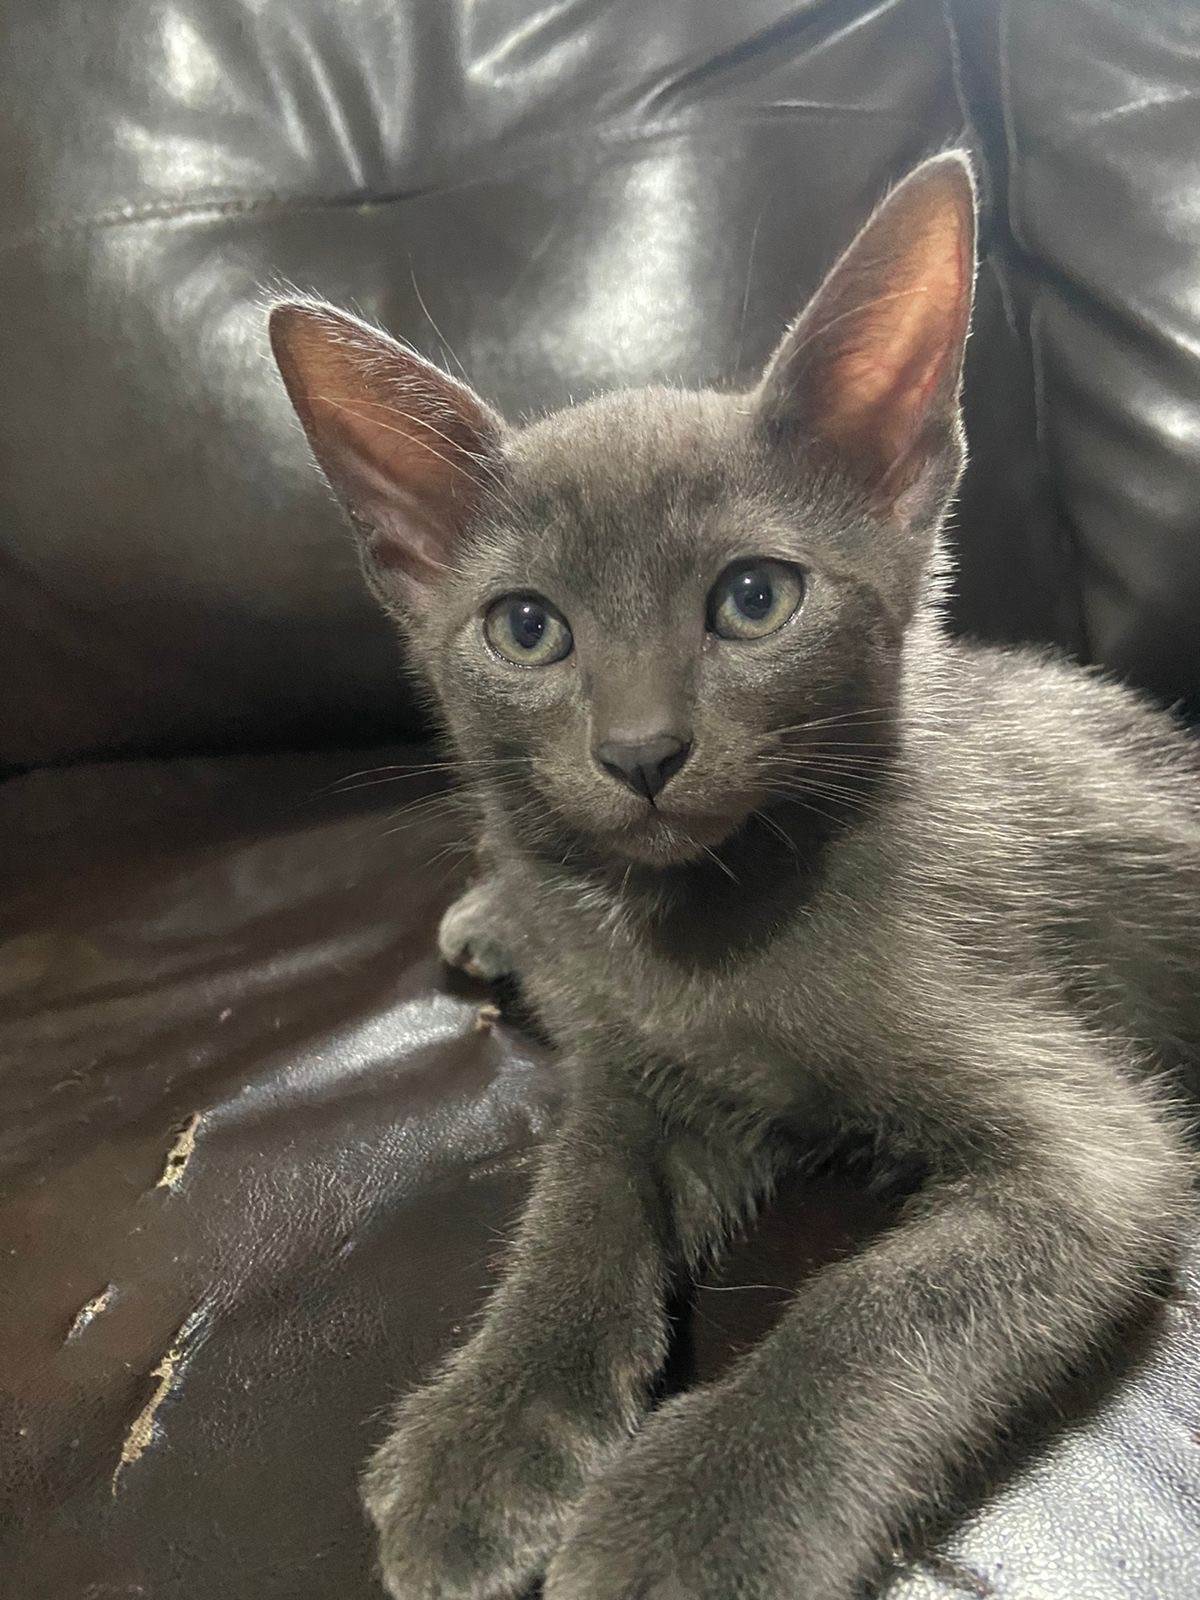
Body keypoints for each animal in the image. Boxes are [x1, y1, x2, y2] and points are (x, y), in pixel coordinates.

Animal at [269, 152, 1200, 1600]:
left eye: (755, 600)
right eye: (526, 628)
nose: (641, 751)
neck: (698, 936)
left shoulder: (1093, 1146)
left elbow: (886, 1303)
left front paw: (701, 1519)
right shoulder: (632, 1069)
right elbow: (577, 1199)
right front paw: (487, 1430)